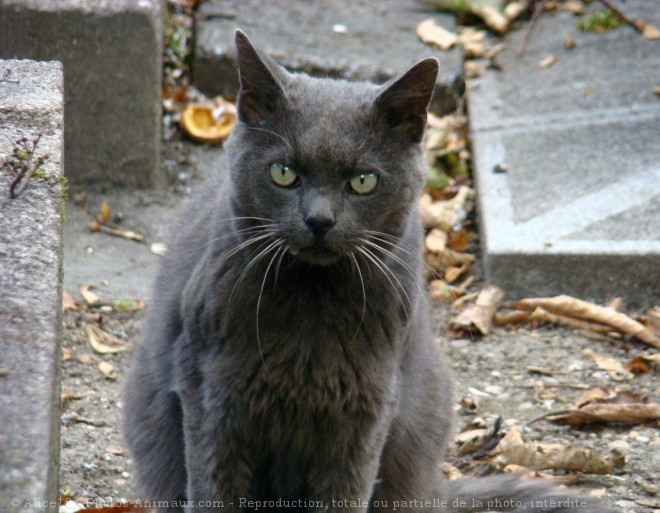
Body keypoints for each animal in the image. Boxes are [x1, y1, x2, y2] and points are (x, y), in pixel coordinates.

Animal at [121, 30, 616, 510]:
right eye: (282, 173)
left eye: (363, 181)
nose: (319, 220)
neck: (311, 310)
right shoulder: (210, 395)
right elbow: (214, 490)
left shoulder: (365, 411)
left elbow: (344, 494)